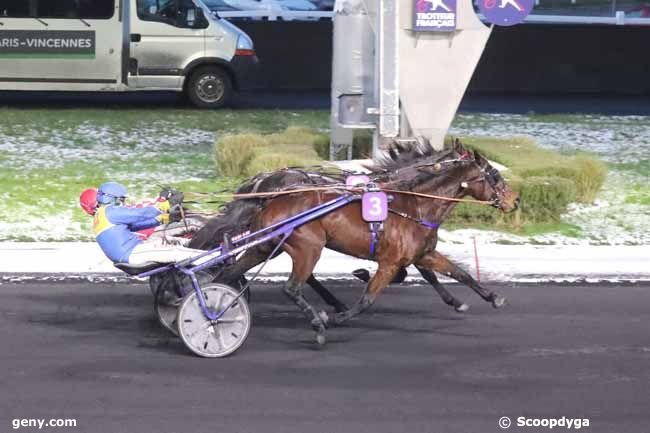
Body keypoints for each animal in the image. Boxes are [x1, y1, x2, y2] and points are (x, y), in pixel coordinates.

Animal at [186, 139, 516, 344]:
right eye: (494, 175)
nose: (515, 201)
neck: (413, 202)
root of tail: (269, 192)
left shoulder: (423, 252)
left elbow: (457, 272)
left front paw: (486, 298)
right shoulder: (391, 260)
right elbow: (370, 298)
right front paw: (338, 312)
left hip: (265, 245)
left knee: (229, 273)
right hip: (309, 247)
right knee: (292, 286)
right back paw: (320, 319)